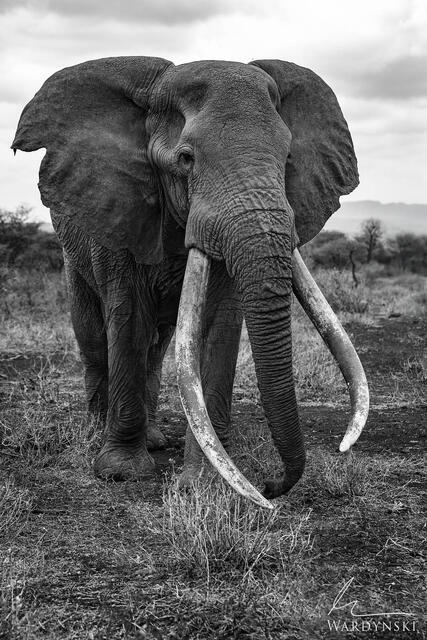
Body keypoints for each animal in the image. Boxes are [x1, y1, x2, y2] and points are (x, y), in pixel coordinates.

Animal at [12, 57, 369, 509]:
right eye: (185, 159)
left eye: (288, 157)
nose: (272, 486)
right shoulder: (119, 215)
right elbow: (128, 317)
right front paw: (121, 473)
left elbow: (221, 327)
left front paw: (206, 484)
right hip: (72, 251)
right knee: (94, 335)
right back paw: (98, 433)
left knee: (158, 347)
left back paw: (155, 439)